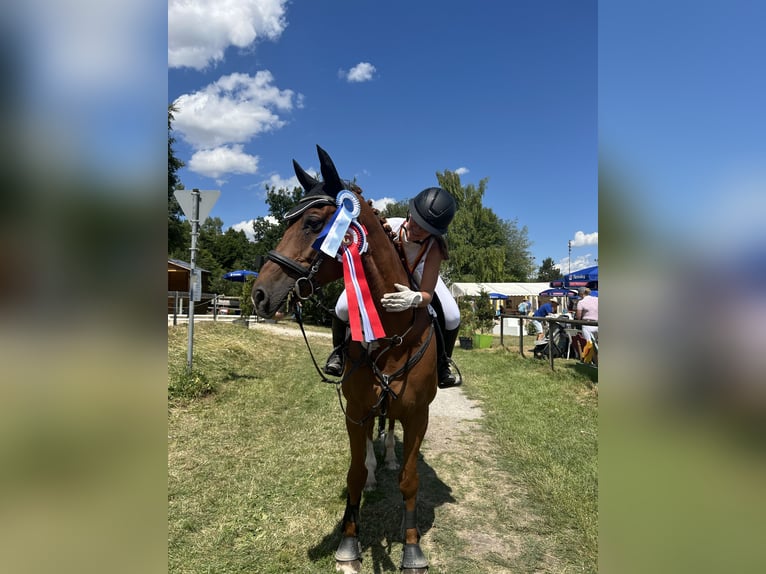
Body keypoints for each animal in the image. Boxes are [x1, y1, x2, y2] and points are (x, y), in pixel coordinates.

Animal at [251, 145, 438, 572]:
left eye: (313, 223)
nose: (259, 295)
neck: (391, 333)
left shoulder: (418, 415)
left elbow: (409, 480)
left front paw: (412, 547)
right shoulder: (355, 410)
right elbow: (353, 472)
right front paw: (349, 542)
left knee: (388, 430)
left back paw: (387, 460)